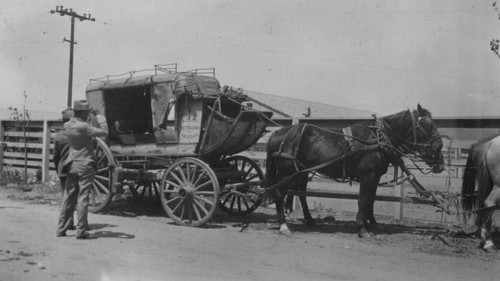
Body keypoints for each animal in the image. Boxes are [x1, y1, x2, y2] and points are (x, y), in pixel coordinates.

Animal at [264, 104, 444, 235]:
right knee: (279, 194)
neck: (378, 139)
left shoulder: (375, 177)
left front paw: (373, 223)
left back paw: (309, 220)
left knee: (300, 193)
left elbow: (371, 200)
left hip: (300, 172)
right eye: (427, 124)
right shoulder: (368, 176)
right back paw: (283, 225)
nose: (439, 147)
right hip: (286, 172)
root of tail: (277, 134)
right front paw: (361, 228)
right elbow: (363, 200)